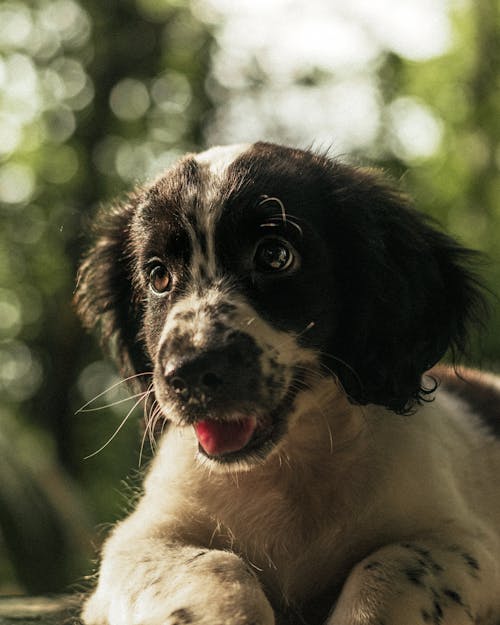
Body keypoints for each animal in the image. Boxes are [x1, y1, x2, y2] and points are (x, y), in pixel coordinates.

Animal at [76, 143, 500, 624]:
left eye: (275, 256)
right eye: (158, 277)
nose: (189, 372)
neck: (287, 470)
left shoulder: (464, 543)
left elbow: (390, 567)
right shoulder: (139, 541)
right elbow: (214, 565)